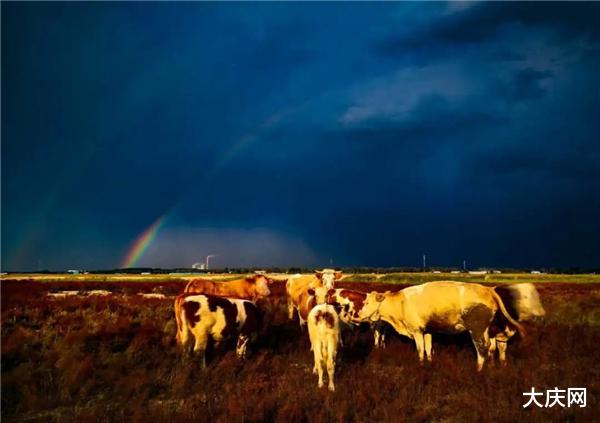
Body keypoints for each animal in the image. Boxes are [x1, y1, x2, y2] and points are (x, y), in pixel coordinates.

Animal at [344, 284, 524, 372]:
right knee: (495, 348)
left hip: (477, 330)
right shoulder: (427, 331)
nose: (357, 314)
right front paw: (430, 363)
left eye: (367, 302)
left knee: (482, 349)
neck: (400, 303)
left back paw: (479, 369)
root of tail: (487, 289)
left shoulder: (417, 331)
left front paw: (421, 365)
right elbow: (428, 348)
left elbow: (420, 350)